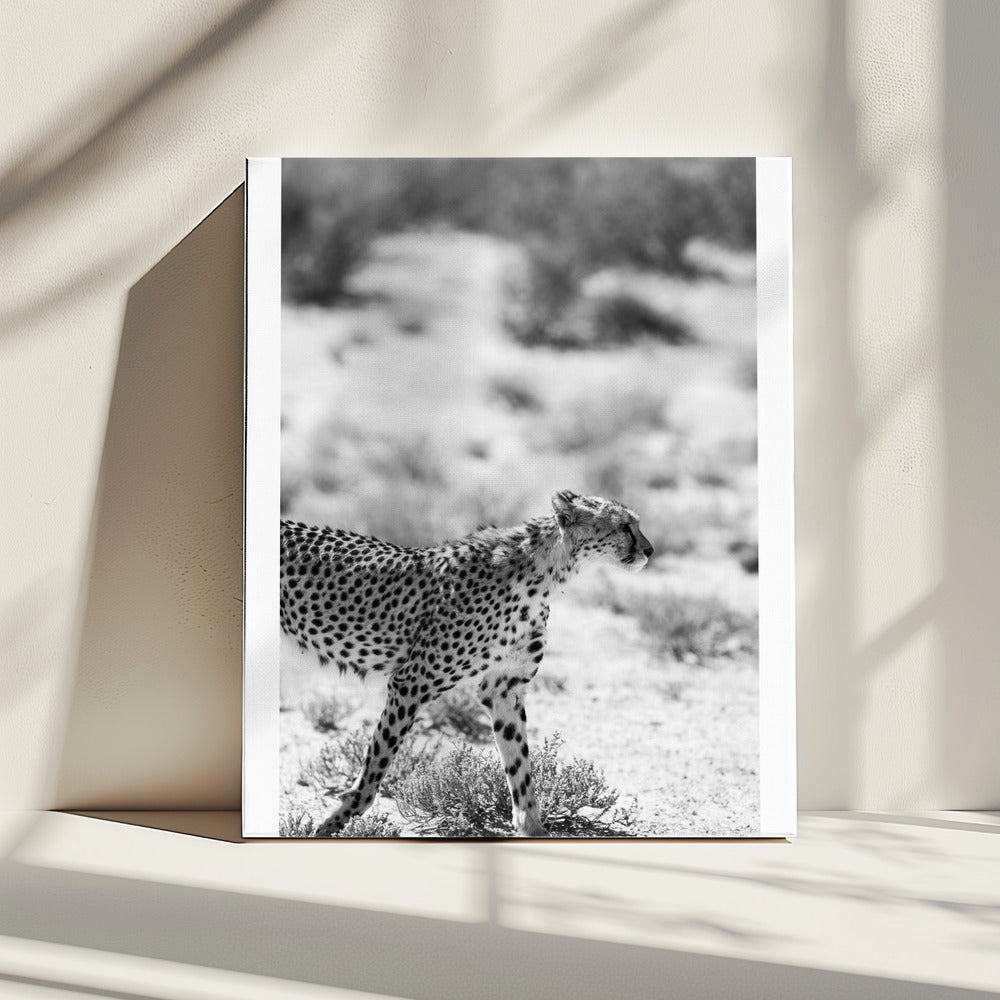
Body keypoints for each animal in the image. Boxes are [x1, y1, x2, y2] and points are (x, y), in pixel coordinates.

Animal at [280, 489, 653, 837]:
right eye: (625, 526)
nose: (649, 550)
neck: (543, 574)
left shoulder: (504, 689)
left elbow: (519, 763)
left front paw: (533, 828)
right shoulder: (411, 682)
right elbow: (377, 764)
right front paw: (332, 824)